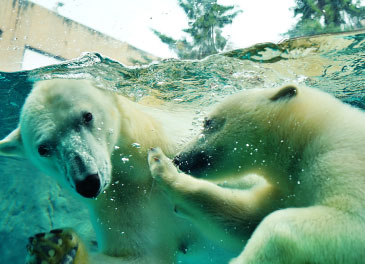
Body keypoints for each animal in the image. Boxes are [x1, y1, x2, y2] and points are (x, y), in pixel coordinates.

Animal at [146, 85, 364, 264]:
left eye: (207, 122)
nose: (179, 158)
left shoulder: (342, 156)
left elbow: (350, 221)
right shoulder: (288, 189)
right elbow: (246, 218)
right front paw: (162, 166)